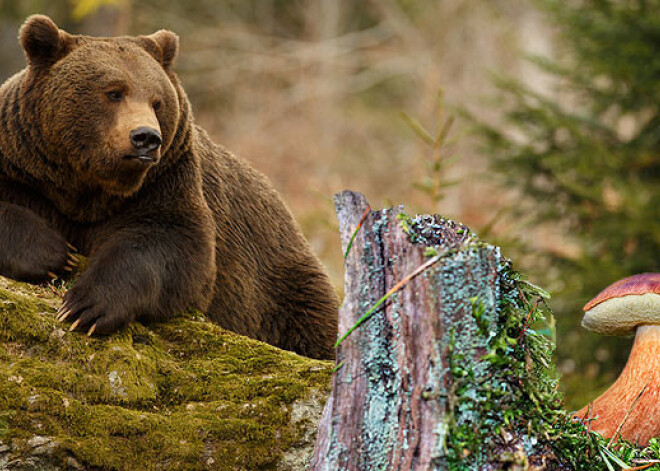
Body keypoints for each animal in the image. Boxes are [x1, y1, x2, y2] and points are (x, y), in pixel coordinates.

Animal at [0, 15, 338, 362]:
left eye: (157, 101)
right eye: (114, 92)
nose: (146, 137)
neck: (87, 187)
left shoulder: (165, 182)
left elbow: (173, 246)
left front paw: (86, 306)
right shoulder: (24, 170)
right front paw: (53, 252)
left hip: (279, 284)